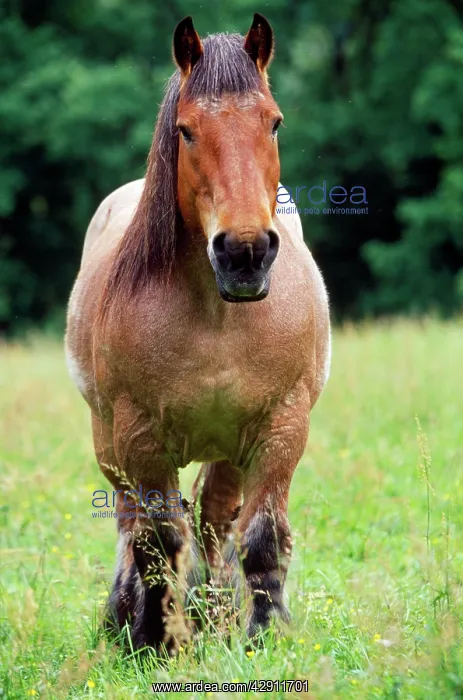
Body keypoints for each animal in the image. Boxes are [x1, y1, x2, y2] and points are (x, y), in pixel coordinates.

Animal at [65, 13, 331, 652]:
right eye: (186, 132)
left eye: (274, 121)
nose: (245, 253)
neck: (218, 317)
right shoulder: (139, 438)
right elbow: (158, 541)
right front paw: (157, 642)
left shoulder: (282, 427)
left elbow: (261, 536)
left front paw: (263, 636)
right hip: (110, 446)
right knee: (133, 523)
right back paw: (128, 615)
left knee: (215, 520)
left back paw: (217, 614)